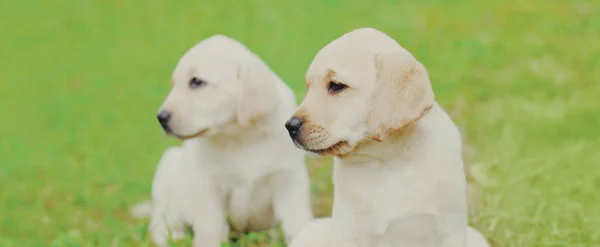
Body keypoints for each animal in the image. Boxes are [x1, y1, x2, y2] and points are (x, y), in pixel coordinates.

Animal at [133, 34, 312, 247]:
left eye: (197, 82)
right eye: (174, 84)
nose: (161, 117)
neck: (242, 138)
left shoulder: (289, 181)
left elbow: (296, 222)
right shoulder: (209, 189)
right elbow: (210, 229)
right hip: (167, 175)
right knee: (161, 225)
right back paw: (176, 238)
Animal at [284, 28, 488, 246]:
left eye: (336, 85)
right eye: (308, 87)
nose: (290, 126)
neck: (388, 160)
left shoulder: (449, 230)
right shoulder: (349, 231)